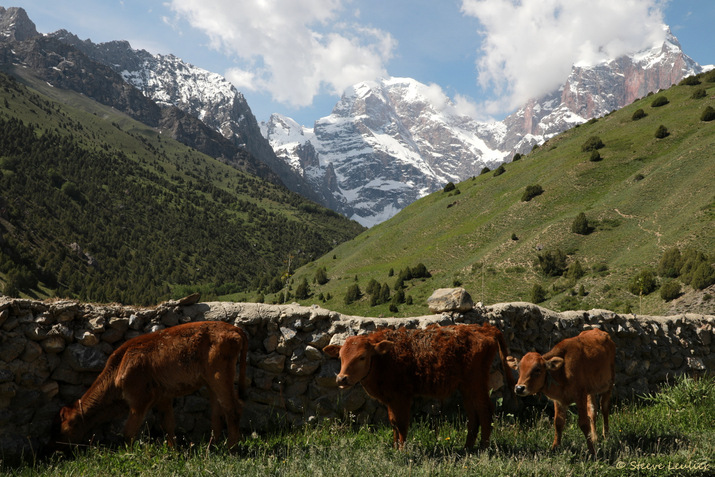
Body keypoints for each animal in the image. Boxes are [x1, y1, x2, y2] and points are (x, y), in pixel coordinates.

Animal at [49, 320, 248, 450]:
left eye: (64, 428)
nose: (56, 449)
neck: (119, 367)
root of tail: (234, 328)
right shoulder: (163, 397)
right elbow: (168, 425)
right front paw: (173, 452)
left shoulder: (139, 400)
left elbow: (128, 432)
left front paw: (128, 455)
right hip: (211, 382)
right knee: (217, 412)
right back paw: (212, 447)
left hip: (220, 377)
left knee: (233, 409)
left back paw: (231, 449)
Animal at [324, 322, 516, 448]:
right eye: (340, 356)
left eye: (362, 357)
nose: (341, 379)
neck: (383, 359)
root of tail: (484, 328)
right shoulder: (391, 399)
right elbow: (393, 423)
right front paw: (395, 447)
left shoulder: (401, 396)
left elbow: (401, 423)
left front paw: (402, 450)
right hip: (467, 387)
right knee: (473, 414)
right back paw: (467, 448)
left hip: (476, 382)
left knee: (485, 411)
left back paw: (483, 448)